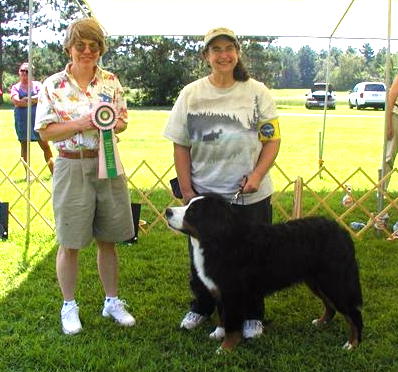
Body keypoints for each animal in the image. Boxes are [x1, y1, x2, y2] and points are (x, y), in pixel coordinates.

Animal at [164, 193, 360, 354]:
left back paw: (352, 344)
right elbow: (223, 316)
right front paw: (218, 333)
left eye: (192, 212)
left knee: (353, 314)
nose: (167, 211)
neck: (220, 241)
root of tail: (342, 231)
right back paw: (321, 323)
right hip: (317, 282)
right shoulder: (219, 289)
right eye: (187, 204)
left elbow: (232, 324)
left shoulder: (232, 293)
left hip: (335, 282)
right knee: (331, 306)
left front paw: (225, 348)